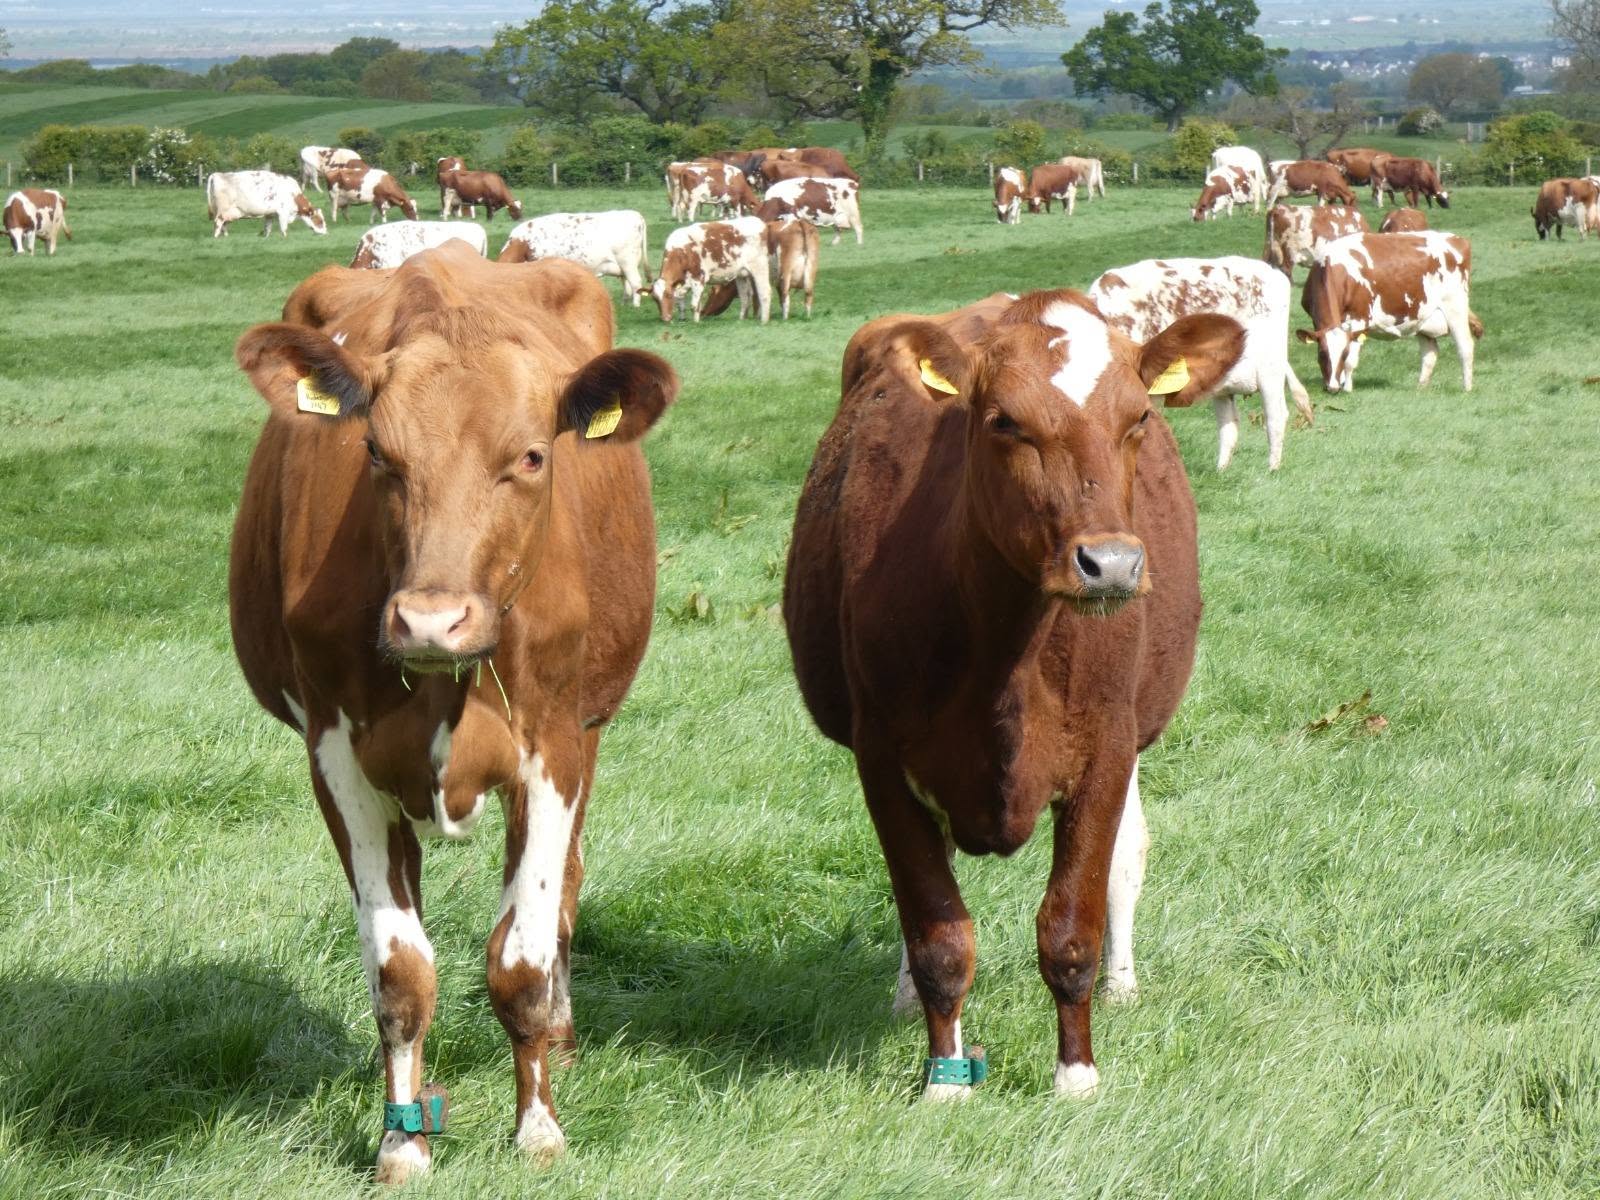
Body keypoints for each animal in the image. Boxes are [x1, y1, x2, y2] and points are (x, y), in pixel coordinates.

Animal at [229, 242, 677, 1183]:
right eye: (375, 451)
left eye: (533, 456)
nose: (431, 620)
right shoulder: (337, 760)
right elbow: (401, 973)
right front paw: (402, 1141)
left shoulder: (554, 749)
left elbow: (520, 958)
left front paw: (538, 1129)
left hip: (590, 733)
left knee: (566, 889)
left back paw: (563, 1036)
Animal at [497, 210, 653, 306]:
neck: (524, 243)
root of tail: (634, 214)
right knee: (626, 282)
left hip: (628, 262)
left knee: (635, 283)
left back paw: (635, 305)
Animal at [782, 289, 1244, 1105]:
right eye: (1004, 421)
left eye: (1139, 418)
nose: (1110, 563)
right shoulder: (881, 756)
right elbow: (937, 932)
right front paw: (944, 1080)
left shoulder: (1106, 748)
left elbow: (1071, 929)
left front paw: (1077, 1076)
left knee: (1128, 856)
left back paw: (1124, 984)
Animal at [1089, 256, 1315, 471]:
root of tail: (1271, 271)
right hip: (1224, 383)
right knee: (1229, 425)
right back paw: (1221, 472)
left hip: (1270, 370)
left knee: (1275, 417)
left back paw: (1272, 469)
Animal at [1298, 231, 1482, 392]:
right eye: (1322, 354)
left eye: (1343, 354)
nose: (1332, 388)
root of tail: (1455, 238)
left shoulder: (1360, 319)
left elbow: (1351, 361)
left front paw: (1347, 389)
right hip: (1422, 317)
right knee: (1430, 353)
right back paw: (1420, 388)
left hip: (1455, 306)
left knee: (1465, 346)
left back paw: (1467, 388)